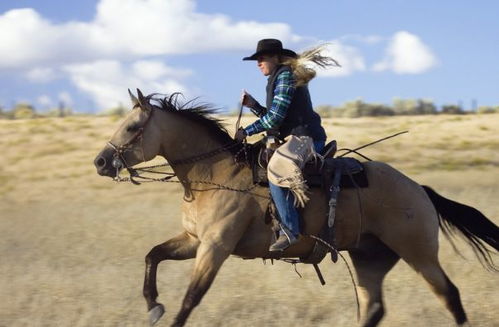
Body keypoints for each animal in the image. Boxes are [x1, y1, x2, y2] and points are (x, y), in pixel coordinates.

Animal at [94, 90, 499, 327]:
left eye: (131, 127)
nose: (100, 162)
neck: (213, 172)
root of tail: (419, 189)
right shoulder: (194, 240)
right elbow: (153, 255)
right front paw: (152, 305)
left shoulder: (215, 247)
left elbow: (191, 298)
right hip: (370, 258)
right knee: (372, 308)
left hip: (419, 253)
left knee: (449, 295)